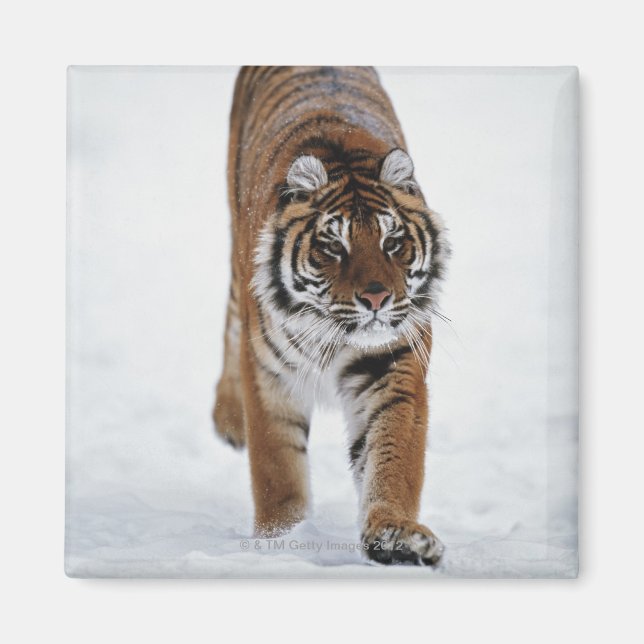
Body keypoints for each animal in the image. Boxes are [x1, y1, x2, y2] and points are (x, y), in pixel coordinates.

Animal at [213, 66, 449, 566]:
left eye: (391, 242)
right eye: (333, 246)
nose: (377, 299)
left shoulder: (393, 361)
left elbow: (393, 453)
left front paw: (396, 536)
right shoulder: (269, 374)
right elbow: (277, 469)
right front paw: (280, 542)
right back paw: (228, 421)